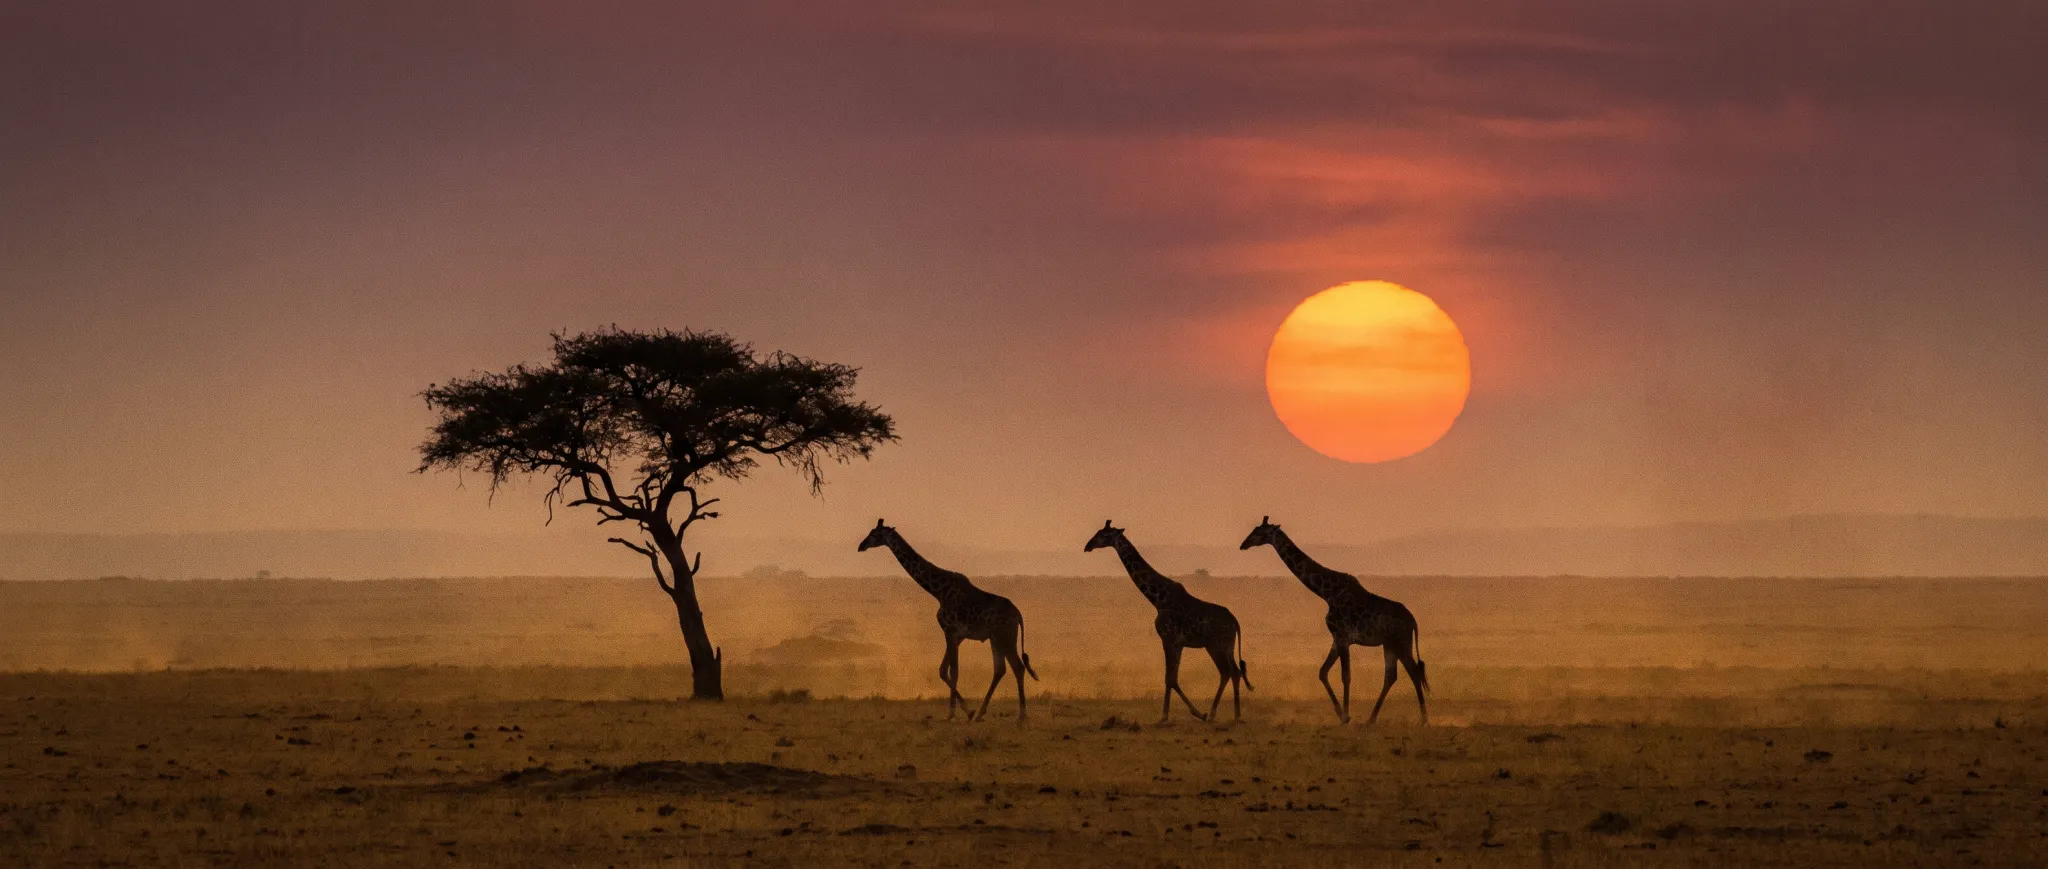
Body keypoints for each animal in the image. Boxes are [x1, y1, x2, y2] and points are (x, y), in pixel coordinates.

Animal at [859, 519, 1038, 723]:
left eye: (874, 534)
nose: (861, 546)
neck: (938, 591)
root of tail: (1018, 615)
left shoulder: (950, 631)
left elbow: (953, 670)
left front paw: (953, 713)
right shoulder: (956, 635)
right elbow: (943, 670)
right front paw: (968, 711)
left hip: (1005, 636)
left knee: (1018, 667)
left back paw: (1022, 715)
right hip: (996, 638)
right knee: (1000, 669)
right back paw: (982, 713)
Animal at [1085, 520, 1252, 724]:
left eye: (1105, 535)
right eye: (1098, 532)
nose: (1088, 546)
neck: (1158, 600)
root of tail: (1235, 622)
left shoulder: (1168, 639)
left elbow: (1170, 678)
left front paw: (1169, 715)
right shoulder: (1178, 643)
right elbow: (1173, 678)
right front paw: (1183, 713)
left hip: (1216, 645)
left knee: (1226, 671)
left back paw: (1213, 714)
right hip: (1226, 645)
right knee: (1234, 671)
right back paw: (1236, 715)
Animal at [1240, 516, 1429, 725]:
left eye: (1260, 532)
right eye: (1254, 529)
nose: (1243, 544)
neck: (1327, 593)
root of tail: (1413, 621)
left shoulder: (1343, 637)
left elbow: (1345, 676)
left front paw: (1346, 715)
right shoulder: (1336, 638)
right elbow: (1323, 672)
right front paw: (1341, 714)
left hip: (1401, 642)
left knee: (1413, 671)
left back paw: (1424, 719)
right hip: (1389, 644)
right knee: (1391, 676)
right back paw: (1371, 719)